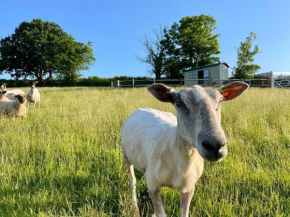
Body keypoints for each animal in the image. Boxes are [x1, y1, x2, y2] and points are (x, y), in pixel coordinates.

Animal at [121, 82, 250, 217]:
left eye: (220, 100)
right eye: (178, 102)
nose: (215, 145)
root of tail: (143, 108)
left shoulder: (189, 188)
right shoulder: (152, 185)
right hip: (126, 156)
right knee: (133, 181)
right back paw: (134, 207)